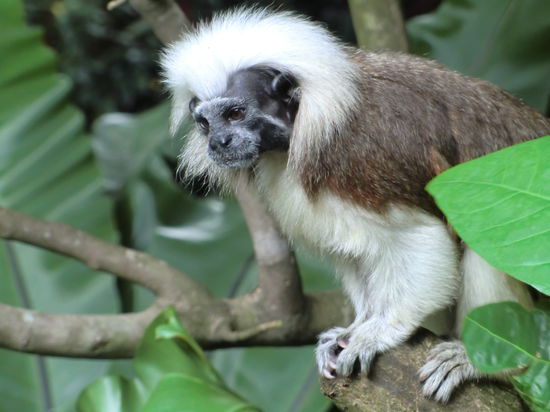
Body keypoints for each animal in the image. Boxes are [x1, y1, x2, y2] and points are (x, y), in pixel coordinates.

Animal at [162, 8, 550, 404]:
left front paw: (381, 330)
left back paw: (484, 364)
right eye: (205, 123)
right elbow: (353, 251)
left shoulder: (362, 156)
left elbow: (419, 236)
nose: (218, 143)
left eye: (236, 114)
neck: (309, 120)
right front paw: (356, 325)